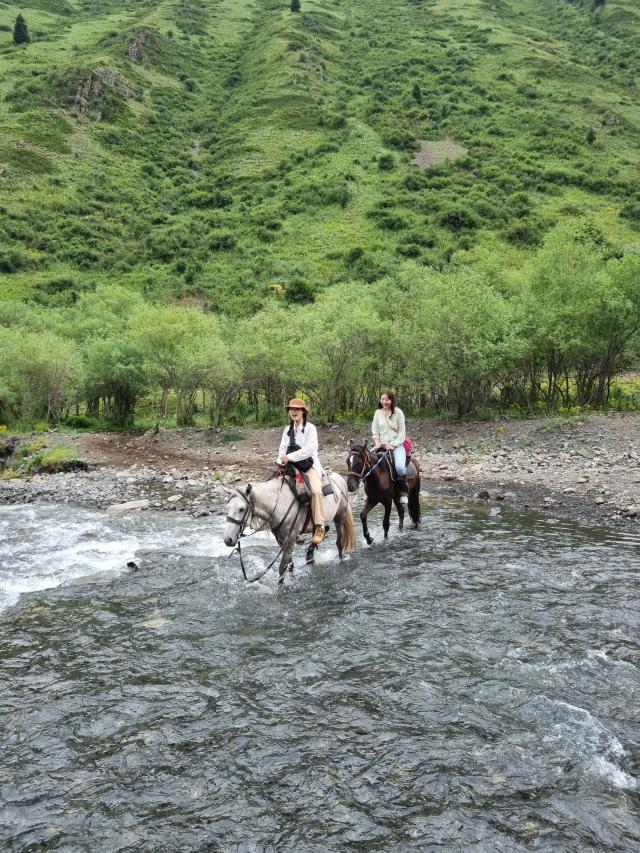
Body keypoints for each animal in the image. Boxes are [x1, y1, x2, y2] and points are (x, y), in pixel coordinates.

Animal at [224, 470, 356, 584]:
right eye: (227, 507)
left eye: (241, 509)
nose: (228, 540)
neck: (278, 503)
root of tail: (340, 479)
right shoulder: (280, 538)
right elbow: (290, 564)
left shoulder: (291, 537)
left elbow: (282, 567)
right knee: (322, 533)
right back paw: (310, 555)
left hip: (339, 517)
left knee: (339, 543)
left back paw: (339, 559)